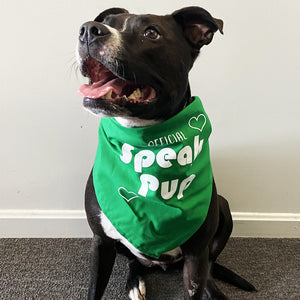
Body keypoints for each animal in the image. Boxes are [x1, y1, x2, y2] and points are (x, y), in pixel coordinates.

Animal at [77, 7, 255, 300]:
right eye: (107, 22)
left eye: (151, 33)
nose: (89, 30)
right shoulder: (101, 243)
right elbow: (95, 289)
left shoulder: (196, 254)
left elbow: (197, 281)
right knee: (135, 261)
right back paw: (135, 281)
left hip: (223, 208)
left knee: (210, 267)